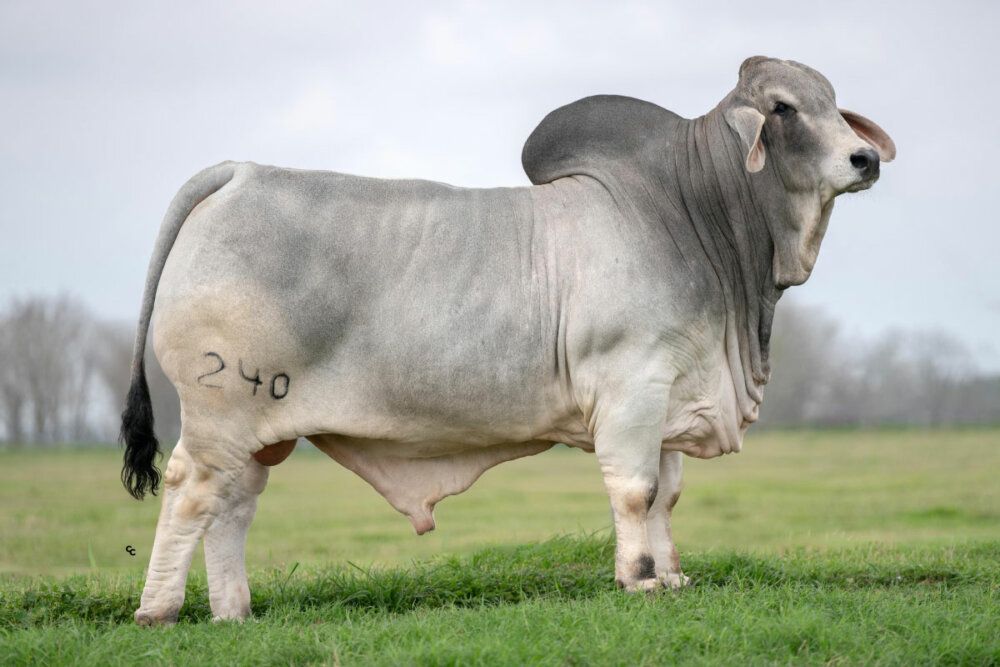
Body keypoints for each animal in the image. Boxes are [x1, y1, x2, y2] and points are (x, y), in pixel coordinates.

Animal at [120, 56, 894, 625]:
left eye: (833, 101)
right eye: (783, 108)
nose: (865, 160)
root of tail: (240, 173)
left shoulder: (674, 392)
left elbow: (667, 495)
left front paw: (673, 576)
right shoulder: (632, 386)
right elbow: (636, 490)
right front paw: (640, 579)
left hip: (260, 427)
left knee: (235, 503)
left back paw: (234, 612)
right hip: (222, 406)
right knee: (190, 490)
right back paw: (159, 610)